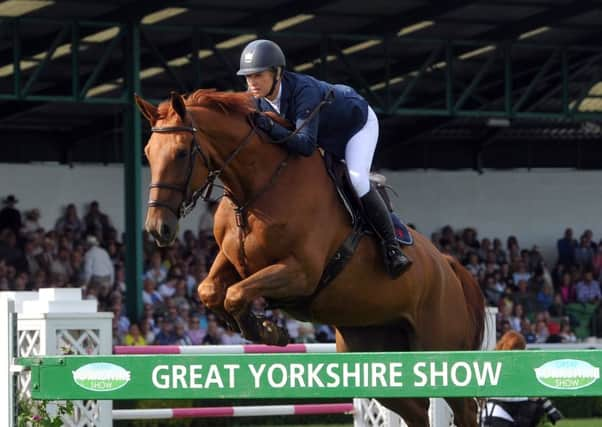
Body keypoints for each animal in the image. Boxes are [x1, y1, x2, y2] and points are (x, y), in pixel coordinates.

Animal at [135, 91, 482, 427]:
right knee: (416, 411)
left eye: (182, 153)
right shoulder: (232, 261)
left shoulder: (300, 273)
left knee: (464, 409)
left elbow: (235, 294)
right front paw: (259, 327)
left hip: (441, 347)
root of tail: (447, 263)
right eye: (148, 153)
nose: (157, 228)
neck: (258, 191)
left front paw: (267, 330)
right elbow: (209, 291)